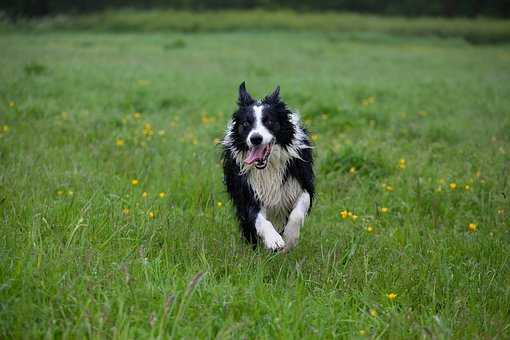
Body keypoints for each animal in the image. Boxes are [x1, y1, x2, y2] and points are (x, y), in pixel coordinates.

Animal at [223, 82, 314, 251]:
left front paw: (290, 238)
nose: (255, 138)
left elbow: (298, 212)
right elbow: (258, 219)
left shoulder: (303, 183)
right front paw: (273, 240)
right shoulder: (248, 191)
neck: (268, 166)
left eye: (269, 121)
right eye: (246, 123)